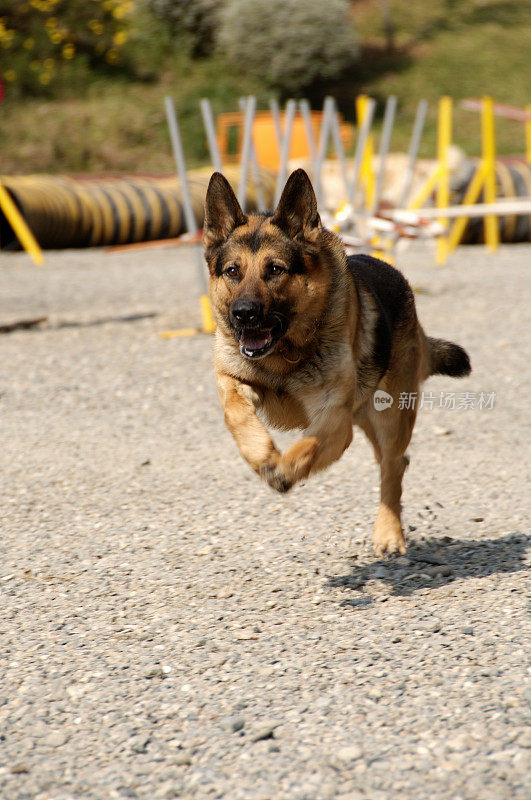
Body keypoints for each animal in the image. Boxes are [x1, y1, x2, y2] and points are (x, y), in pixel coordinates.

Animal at [203, 169, 470, 556]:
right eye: (233, 272)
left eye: (275, 270)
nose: (244, 314)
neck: (286, 358)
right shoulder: (233, 380)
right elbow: (237, 413)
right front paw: (260, 454)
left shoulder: (335, 422)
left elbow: (307, 446)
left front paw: (283, 469)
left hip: (387, 416)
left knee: (393, 464)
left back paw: (388, 533)